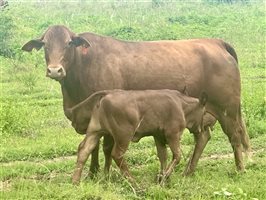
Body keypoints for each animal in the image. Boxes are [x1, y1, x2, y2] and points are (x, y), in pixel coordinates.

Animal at [65, 89, 208, 184]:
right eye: (204, 112)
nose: (201, 128)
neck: (181, 104)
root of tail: (105, 95)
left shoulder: (158, 136)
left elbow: (163, 156)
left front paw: (162, 177)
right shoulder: (173, 134)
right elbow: (177, 156)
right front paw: (165, 176)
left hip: (95, 132)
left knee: (84, 150)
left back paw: (75, 181)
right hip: (123, 136)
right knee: (117, 155)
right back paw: (133, 181)